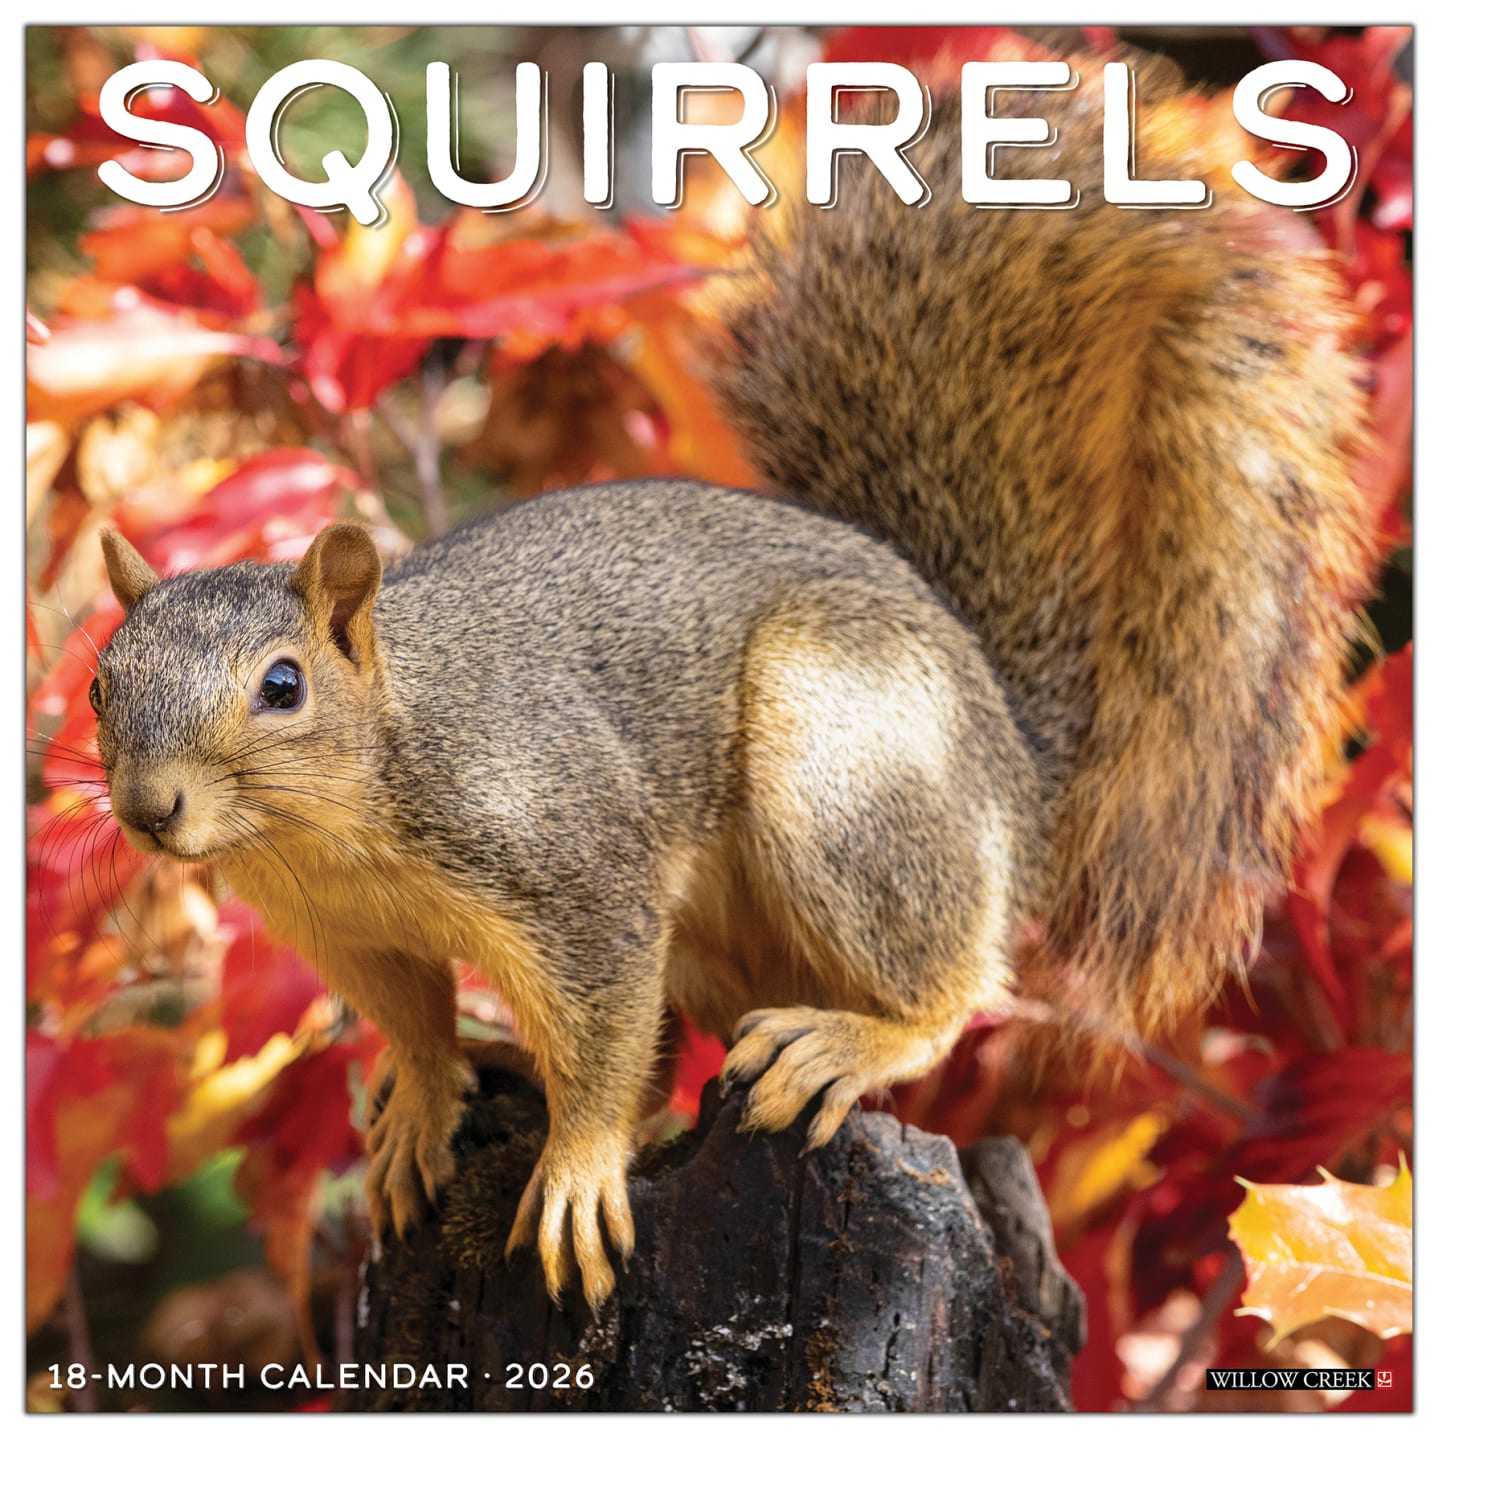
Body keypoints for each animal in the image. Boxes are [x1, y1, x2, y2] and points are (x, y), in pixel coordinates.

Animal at [88, 55, 1380, 1311]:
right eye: (102, 686)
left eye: (285, 686)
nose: (151, 810)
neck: (340, 826)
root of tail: (1011, 759)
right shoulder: (349, 934)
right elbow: (414, 1023)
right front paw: (420, 1101)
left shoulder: (574, 871)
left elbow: (602, 1034)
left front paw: (577, 1172)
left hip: (846, 767)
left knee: (956, 980)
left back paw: (849, 1044)